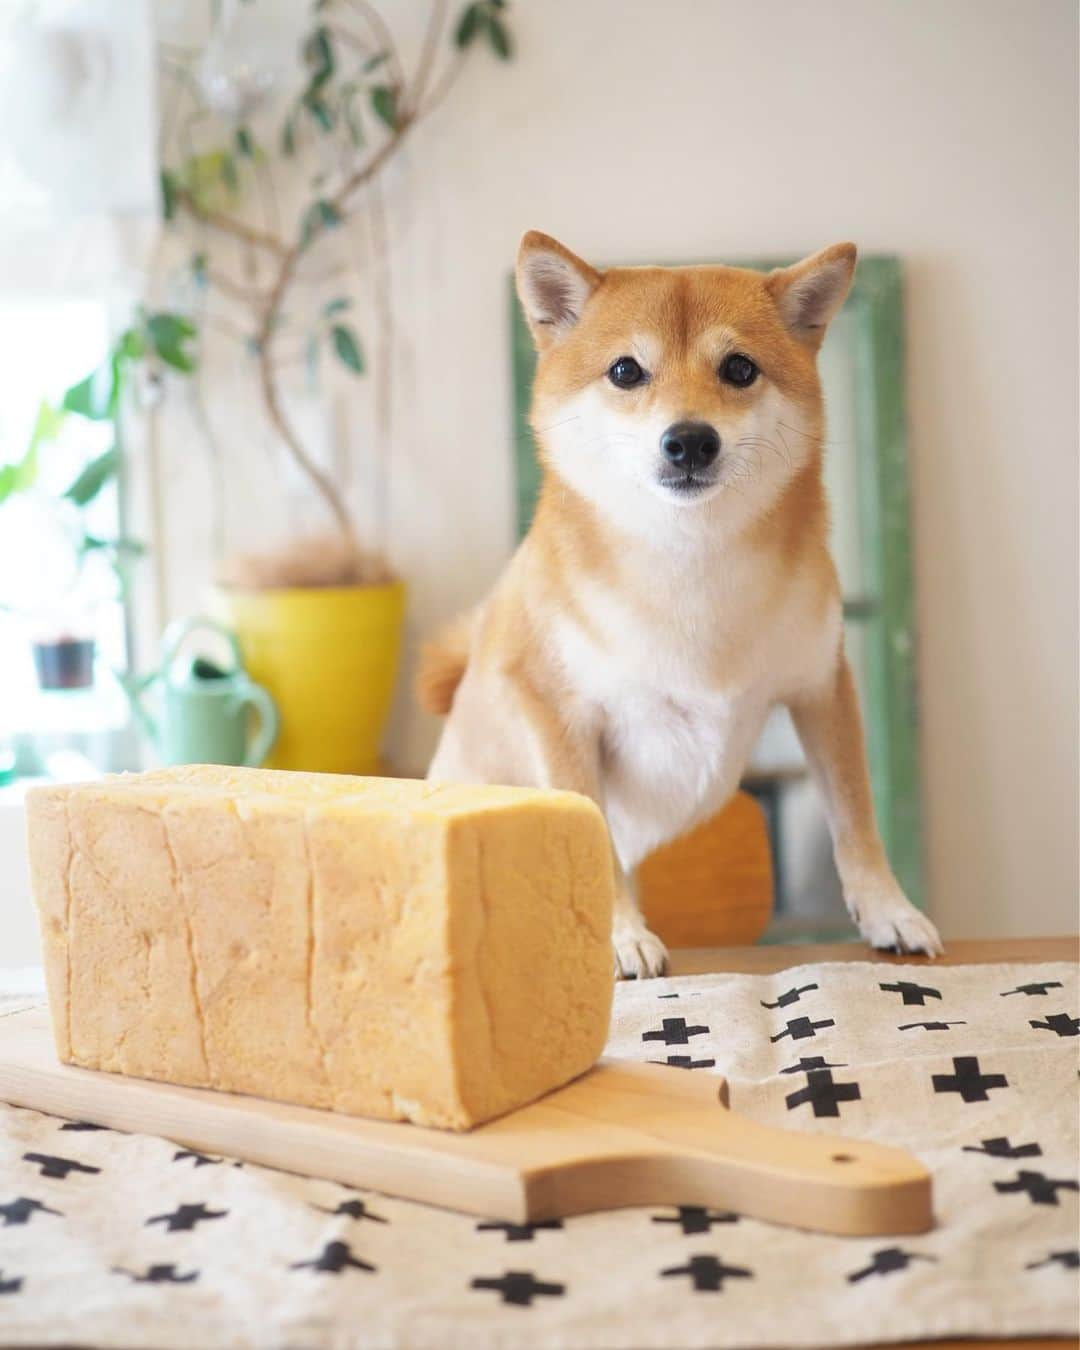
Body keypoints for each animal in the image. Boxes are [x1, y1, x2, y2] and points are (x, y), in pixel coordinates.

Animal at [418, 229, 939, 972]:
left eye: (740, 369)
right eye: (625, 371)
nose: (690, 439)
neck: (691, 561)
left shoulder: (821, 686)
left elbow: (855, 817)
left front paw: (890, 912)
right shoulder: (554, 707)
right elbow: (594, 837)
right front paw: (622, 936)